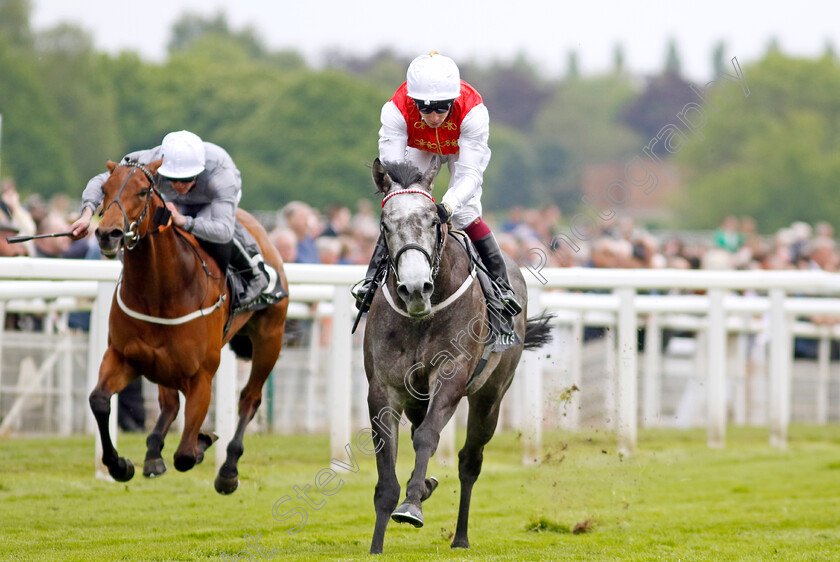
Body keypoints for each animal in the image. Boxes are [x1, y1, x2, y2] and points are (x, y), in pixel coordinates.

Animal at [89, 156, 288, 490]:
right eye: (105, 189)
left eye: (142, 191)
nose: (108, 234)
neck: (160, 292)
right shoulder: (122, 356)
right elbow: (100, 401)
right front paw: (119, 465)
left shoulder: (201, 377)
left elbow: (184, 455)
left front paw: (202, 443)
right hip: (159, 364)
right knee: (169, 402)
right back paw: (153, 453)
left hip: (269, 338)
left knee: (250, 399)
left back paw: (228, 469)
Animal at [362, 156, 552, 552]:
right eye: (385, 225)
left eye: (433, 221)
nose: (415, 288)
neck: (422, 316)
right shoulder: (384, 388)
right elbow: (387, 463)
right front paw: (377, 543)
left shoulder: (451, 375)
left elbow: (427, 438)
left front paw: (412, 504)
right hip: (418, 398)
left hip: (490, 398)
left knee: (470, 460)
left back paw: (460, 536)